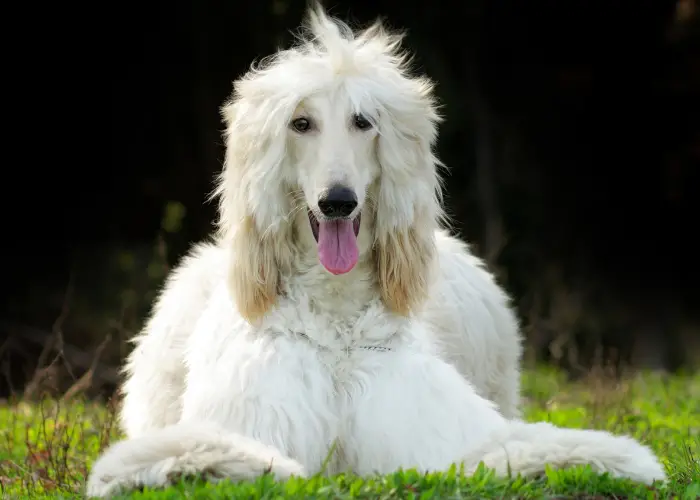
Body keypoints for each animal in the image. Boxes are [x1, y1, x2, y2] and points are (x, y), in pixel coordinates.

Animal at [85, 6, 664, 496]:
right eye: (301, 123)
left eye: (363, 122)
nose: (337, 202)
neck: (335, 314)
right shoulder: (258, 408)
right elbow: (203, 450)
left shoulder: (427, 424)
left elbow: (518, 448)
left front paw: (618, 459)